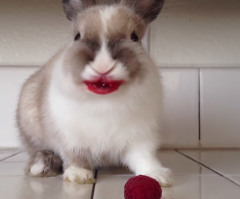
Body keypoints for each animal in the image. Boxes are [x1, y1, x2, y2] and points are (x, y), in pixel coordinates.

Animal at [16, 0, 173, 187]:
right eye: (77, 36)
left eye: (134, 37)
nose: (103, 65)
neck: (104, 100)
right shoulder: (70, 137)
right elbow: (76, 156)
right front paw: (79, 175)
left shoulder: (140, 137)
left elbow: (144, 157)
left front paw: (158, 176)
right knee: (39, 150)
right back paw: (40, 166)